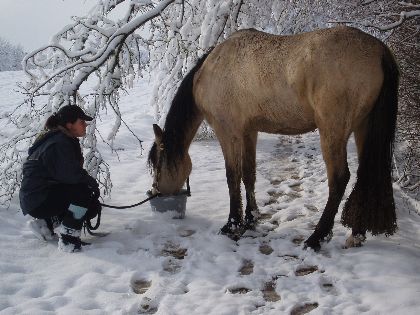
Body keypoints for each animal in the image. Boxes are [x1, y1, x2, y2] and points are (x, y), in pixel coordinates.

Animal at [149, 25, 398, 252]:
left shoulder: (228, 132)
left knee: (339, 178)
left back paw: (316, 238)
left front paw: (232, 225)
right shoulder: (248, 132)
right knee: (365, 174)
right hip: (362, 128)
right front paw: (250, 218)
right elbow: (248, 174)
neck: (214, 68)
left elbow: (232, 177)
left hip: (332, 131)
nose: (155, 192)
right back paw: (356, 235)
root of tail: (379, 50)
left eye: (157, 165)